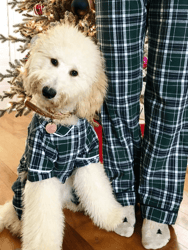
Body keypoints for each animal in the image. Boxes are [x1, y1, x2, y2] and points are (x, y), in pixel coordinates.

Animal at [0, 22, 135, 249]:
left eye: (74, 72)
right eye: (54, 61)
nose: (48, 91)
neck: (60, 124)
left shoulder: (86, 159)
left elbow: (98, 190)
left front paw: (112, 216)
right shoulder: (40, 169)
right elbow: (42, 219)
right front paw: (42, 245)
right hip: (21, 190)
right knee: (15, 215)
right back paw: (17, 226)